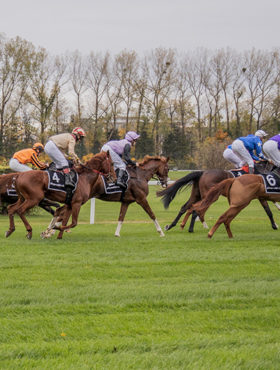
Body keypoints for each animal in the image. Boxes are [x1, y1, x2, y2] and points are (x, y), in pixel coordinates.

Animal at [42, 155, 170, 238]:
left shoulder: (126, 201)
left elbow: (121, 217)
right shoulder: (141, 199)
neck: (139, 175)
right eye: (167, 168)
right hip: (80, 199)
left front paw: (117, 234)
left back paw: (49, 231)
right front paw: (161, 232)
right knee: (60, 211)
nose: (165, 183)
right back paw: (50, 231)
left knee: (59, 211)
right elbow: (152, 214)